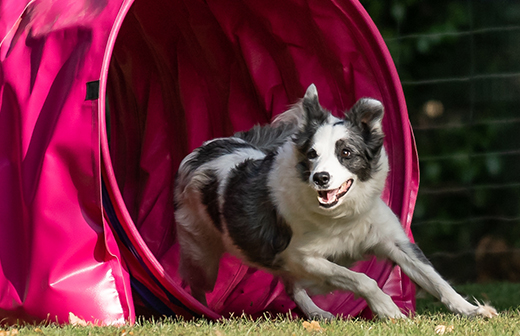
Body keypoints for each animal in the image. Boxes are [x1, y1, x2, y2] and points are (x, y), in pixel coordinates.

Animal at [174, 84, 496, 320]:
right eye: (312, 154)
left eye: (346, 153)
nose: (320, 178)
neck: (342, 215)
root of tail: (212, 146)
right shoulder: (304, 256)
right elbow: (361, 278)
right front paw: (388, 308)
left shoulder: (393, 241)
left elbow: (435, 279)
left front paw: (473, 310)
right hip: (202, 256)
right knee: (197, 283)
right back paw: (197, 309)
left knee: (291, 287)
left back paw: (318, 313)